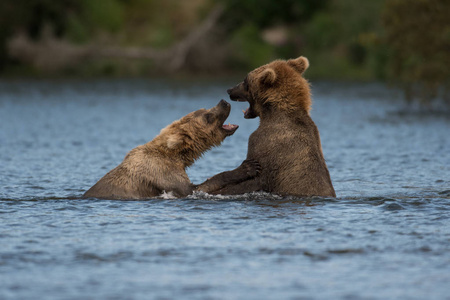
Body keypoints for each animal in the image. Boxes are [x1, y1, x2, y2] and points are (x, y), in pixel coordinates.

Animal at [83, 99, 260, 200]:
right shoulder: (162, 172)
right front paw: (248, 166)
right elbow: (194, 188)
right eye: (208, 116)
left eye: (204, 109)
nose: (224, 102)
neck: (177, 155)